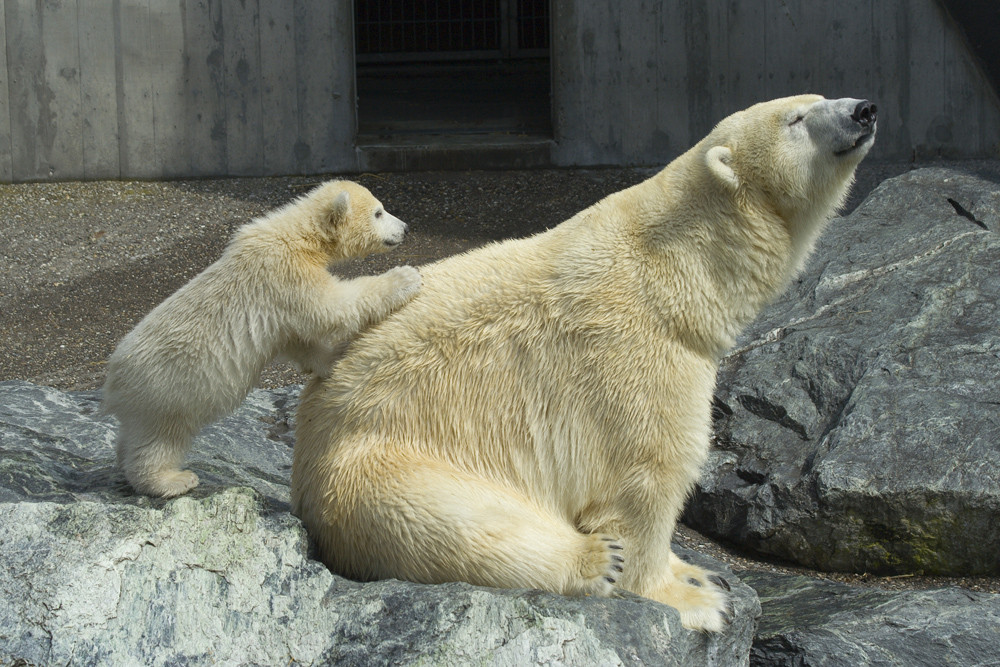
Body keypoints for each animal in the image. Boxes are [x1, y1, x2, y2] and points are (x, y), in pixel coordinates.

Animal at [292, 95, 876, 632]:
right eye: (796, 118)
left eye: (821, 96)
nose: (863, 110)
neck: (673, 270)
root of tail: (306, 440)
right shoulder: (636, 357)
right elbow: (646, 479)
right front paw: (694, 600)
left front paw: (694, 570)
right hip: (382, 456)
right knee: (455, 519)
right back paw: (593, 562)